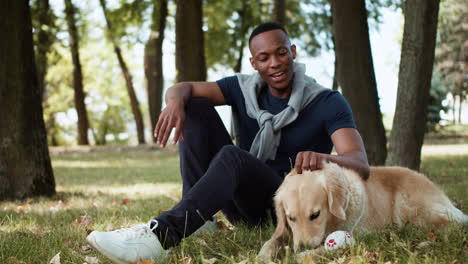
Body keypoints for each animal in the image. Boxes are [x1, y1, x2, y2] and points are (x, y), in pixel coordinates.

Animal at [258, 162, 466, 258]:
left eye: (315, 215)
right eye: (290, 218)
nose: (302, 247)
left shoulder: (352, 238)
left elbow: (320, 250)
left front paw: (300, 256)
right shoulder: (285, 233)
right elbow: (269, 243)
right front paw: (262, 257)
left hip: (411, 207)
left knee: (451, 227)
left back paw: (424, 244)